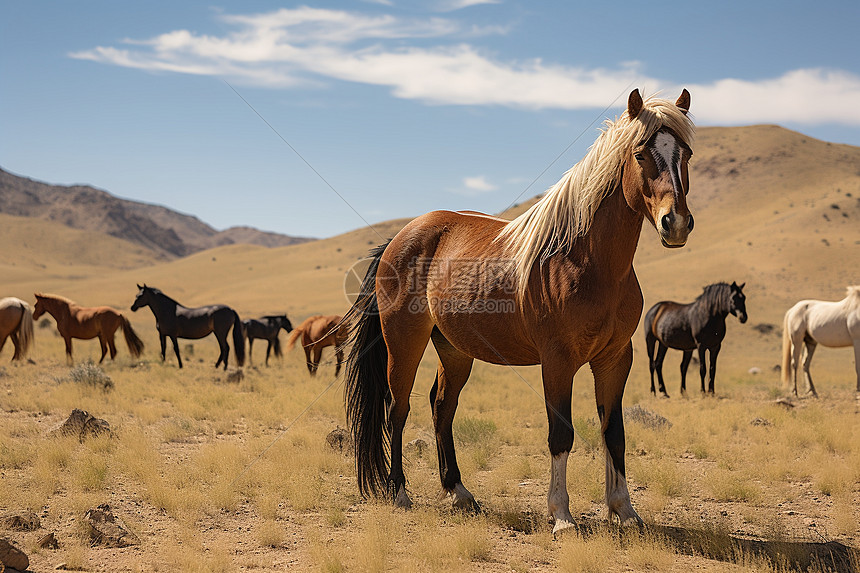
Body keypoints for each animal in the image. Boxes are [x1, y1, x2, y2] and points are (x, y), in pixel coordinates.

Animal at [340, 89, 696, 532]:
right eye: (641, 154)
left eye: (686, 154)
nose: (675, 223)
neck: (588, 261)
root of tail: (400, 238)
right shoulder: (558, 361)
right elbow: (561, 435)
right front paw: (561, 516)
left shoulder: (616, 358)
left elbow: (614, 433)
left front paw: (624, 511)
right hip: (404, 342)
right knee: (398, 409)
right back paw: (399, 492)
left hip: (454, 349)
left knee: (441, 407)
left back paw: (458, 491)